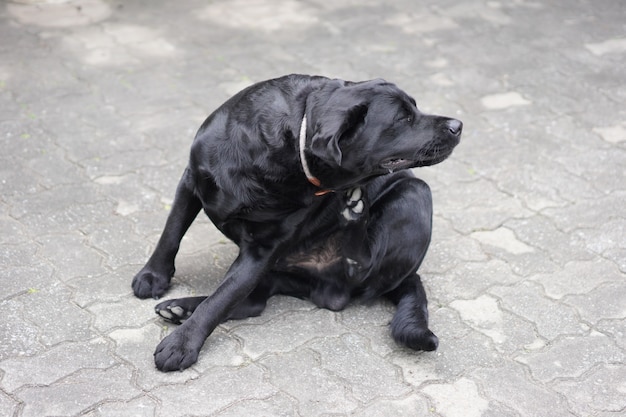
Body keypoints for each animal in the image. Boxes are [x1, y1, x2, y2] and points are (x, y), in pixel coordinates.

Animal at [130, 74, 458, 370]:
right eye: (403, 118)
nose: (458, 125)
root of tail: (410, 276)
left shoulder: (262, 250)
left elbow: (221, 299)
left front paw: (181, 345)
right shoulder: (192, 179)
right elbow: (171, 233)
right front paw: (153, 277)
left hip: (415, 192)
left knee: (353, 273)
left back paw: (354, 210)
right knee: (253, 301)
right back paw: (179, 308)